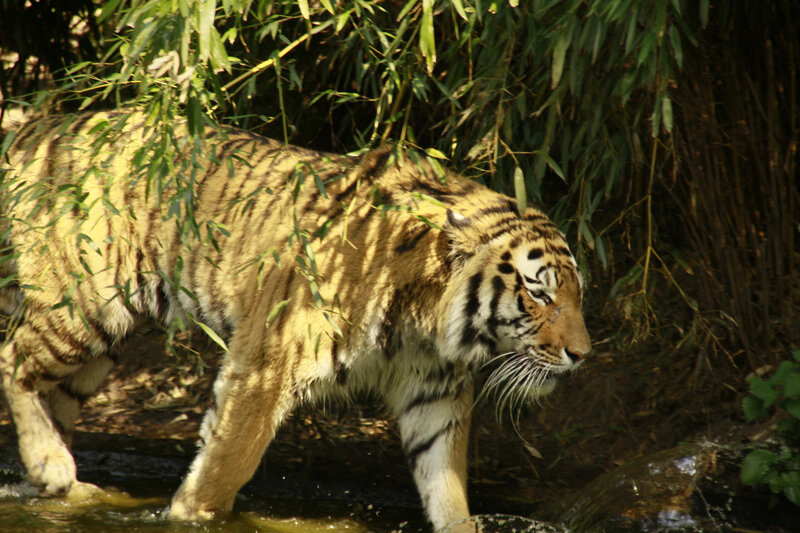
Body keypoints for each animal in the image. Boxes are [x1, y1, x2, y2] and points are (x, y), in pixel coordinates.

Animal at [0, 110, 591, 530]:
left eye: (578, 294)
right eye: (539, 293)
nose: (582, 355)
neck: (424, 320)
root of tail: (36, 129)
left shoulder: (434, 391)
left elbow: (446, 485)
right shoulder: (265, 364)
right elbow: (228, 460)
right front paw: (188, 516)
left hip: (98, 348)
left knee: (50, 397)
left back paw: (61, 485)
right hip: (83, 306)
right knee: (13, 357)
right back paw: (53, 466)